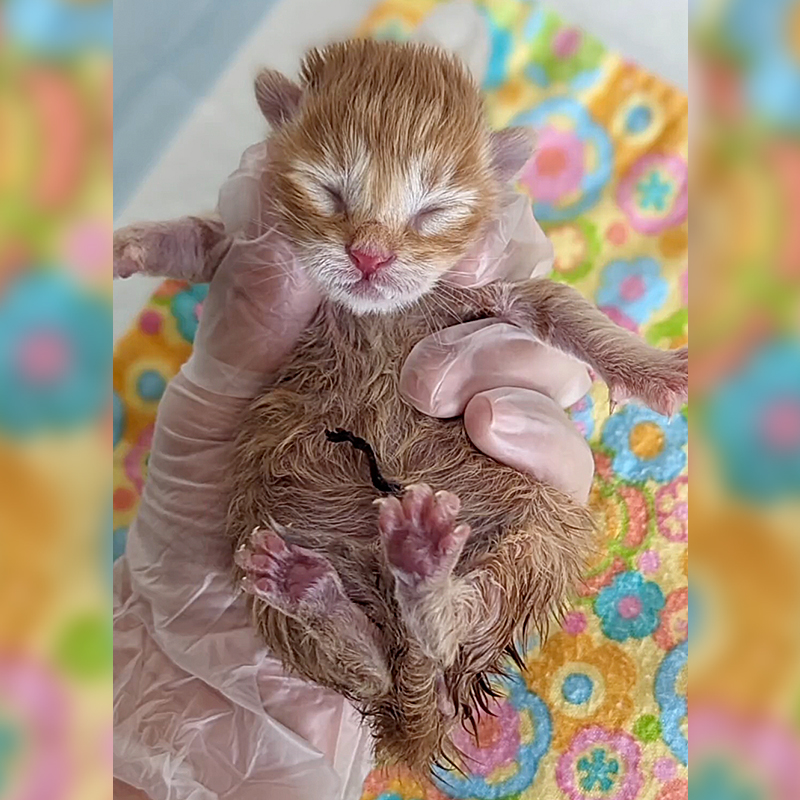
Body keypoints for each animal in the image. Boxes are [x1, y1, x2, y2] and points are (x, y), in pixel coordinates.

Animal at [112, 39, 688, 776]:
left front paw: (652, 371)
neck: (375, 314)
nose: (370, 256)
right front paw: (130, 243)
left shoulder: (490, 292)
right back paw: (315, 590)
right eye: (330, 190)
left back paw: (423, 575)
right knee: (372, 675)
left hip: (537, 539)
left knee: (449, 633)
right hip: (259, 526)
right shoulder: (245, 247)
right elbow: (198, 240)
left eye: (432, 211)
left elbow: (560, 309)